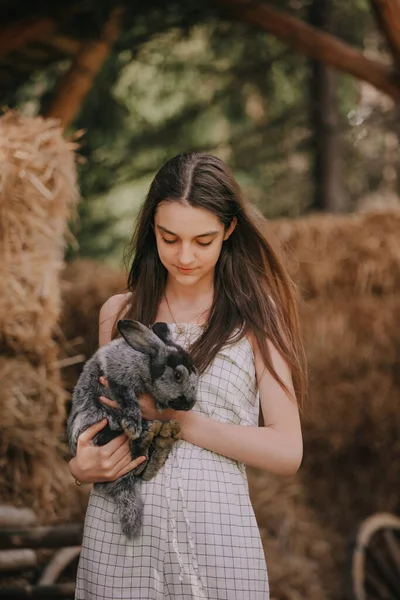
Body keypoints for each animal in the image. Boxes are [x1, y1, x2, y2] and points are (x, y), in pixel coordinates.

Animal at [67, 322, 198, 540]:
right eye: (178, 375)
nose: (190, 404)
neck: (146, 363)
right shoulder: (116, 376)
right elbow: (128, 398)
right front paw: (133, 424)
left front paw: (159, 406)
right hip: (98, 423)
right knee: (127, 449)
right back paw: (146, 431)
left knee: (142, 468)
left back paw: (163, 437)